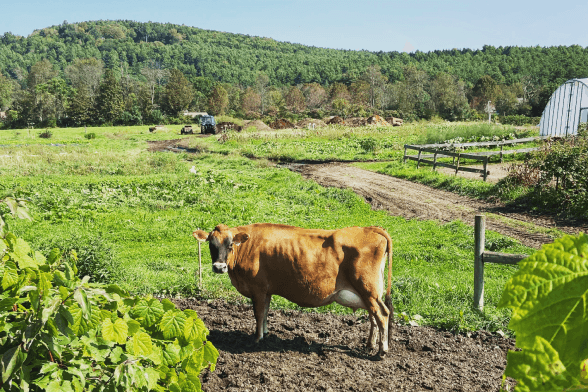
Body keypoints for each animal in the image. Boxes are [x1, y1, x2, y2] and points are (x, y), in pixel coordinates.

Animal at [194, 224, 396, 356]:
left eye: (230, 245)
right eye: (211, 245)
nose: (219, 267)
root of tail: (370, 228)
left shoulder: (258, 288)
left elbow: (258, 313)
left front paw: (257, 339)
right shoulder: (267, 291)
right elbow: (265, 312)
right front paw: (265, 334)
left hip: (368, 289)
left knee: (382, 314)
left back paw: (382, 350)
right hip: (370, 292)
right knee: (374, 316)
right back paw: (370, 345)